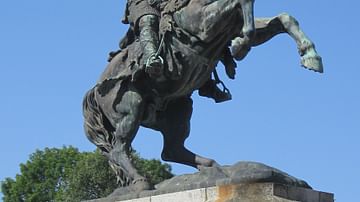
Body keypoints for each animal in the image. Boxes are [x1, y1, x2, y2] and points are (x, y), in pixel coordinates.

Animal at [82, 0, 324, 191]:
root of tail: (94, 91)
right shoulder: (205, 24)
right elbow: (243, 4)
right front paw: (240, 47)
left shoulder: (231, 26)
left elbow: (283, 18)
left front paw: (311, 56)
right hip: (131, 107)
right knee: (119, 149)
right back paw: (142, 181)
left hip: (179, 110)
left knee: (171, 151)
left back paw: (213, 168)